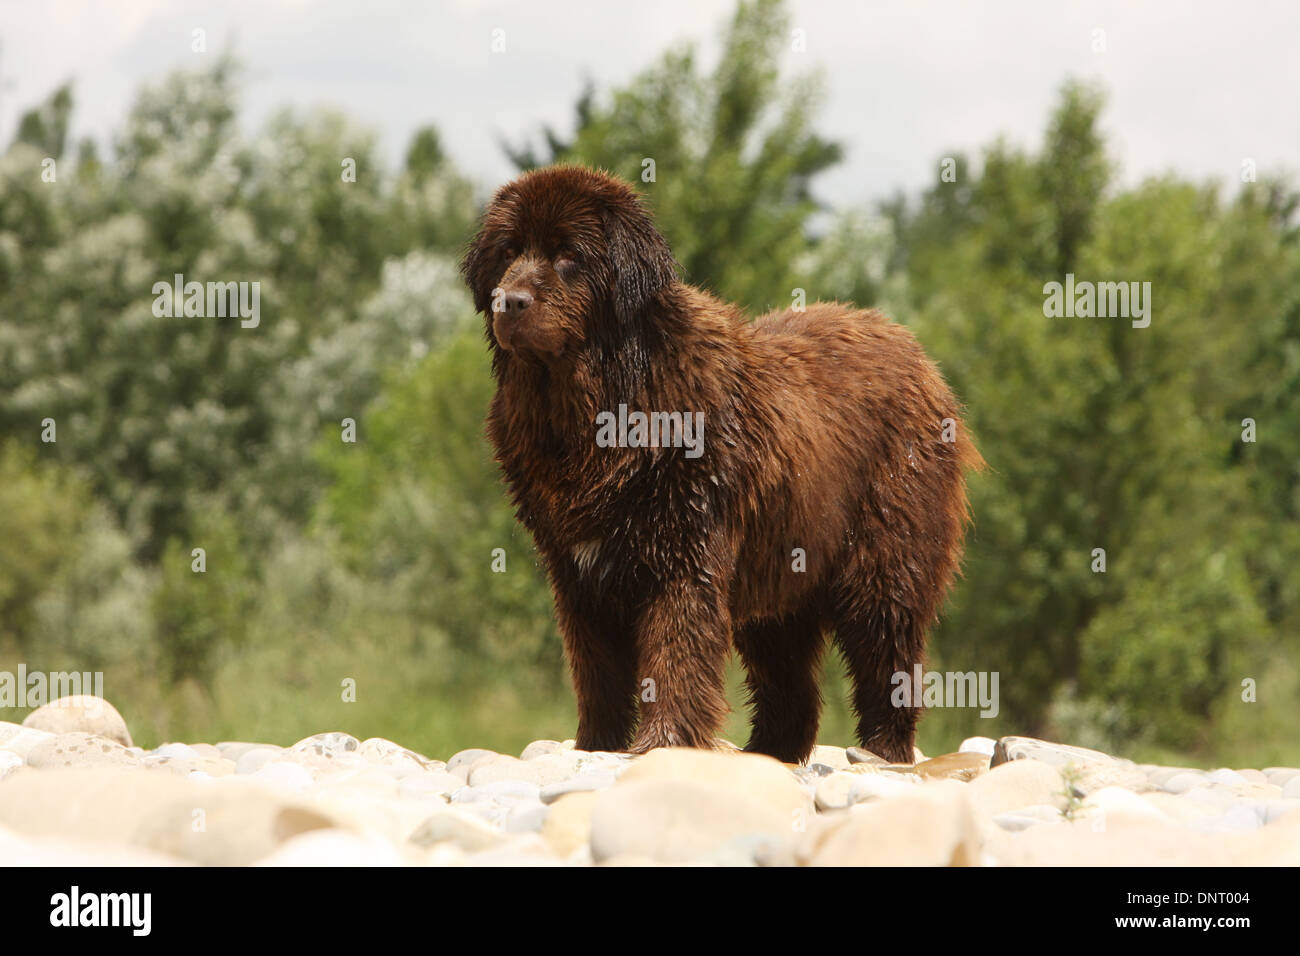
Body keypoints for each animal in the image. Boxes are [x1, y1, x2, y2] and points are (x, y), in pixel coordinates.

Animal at [462, 164, 977, 764]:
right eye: (508, 250)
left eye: (569, 254)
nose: (511, 301)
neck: (598, 407)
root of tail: (917, 353)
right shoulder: (577, 569)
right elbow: (596, 669)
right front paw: (595, 747)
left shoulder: (684, 550)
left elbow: (676, 653)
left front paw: (662, 745)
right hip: (782, 573)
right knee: (791, 686)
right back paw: (765, 756)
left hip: (885, 556)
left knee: (888, 651)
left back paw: (881, 751)